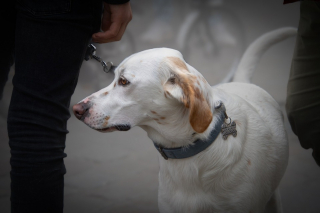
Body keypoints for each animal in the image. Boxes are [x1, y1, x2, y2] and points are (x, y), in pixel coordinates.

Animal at [73, 27, 298, 212]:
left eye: (123, 81)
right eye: (115, 78)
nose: (76, 109)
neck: (187, 155)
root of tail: (242, 81)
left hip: (273, 199)